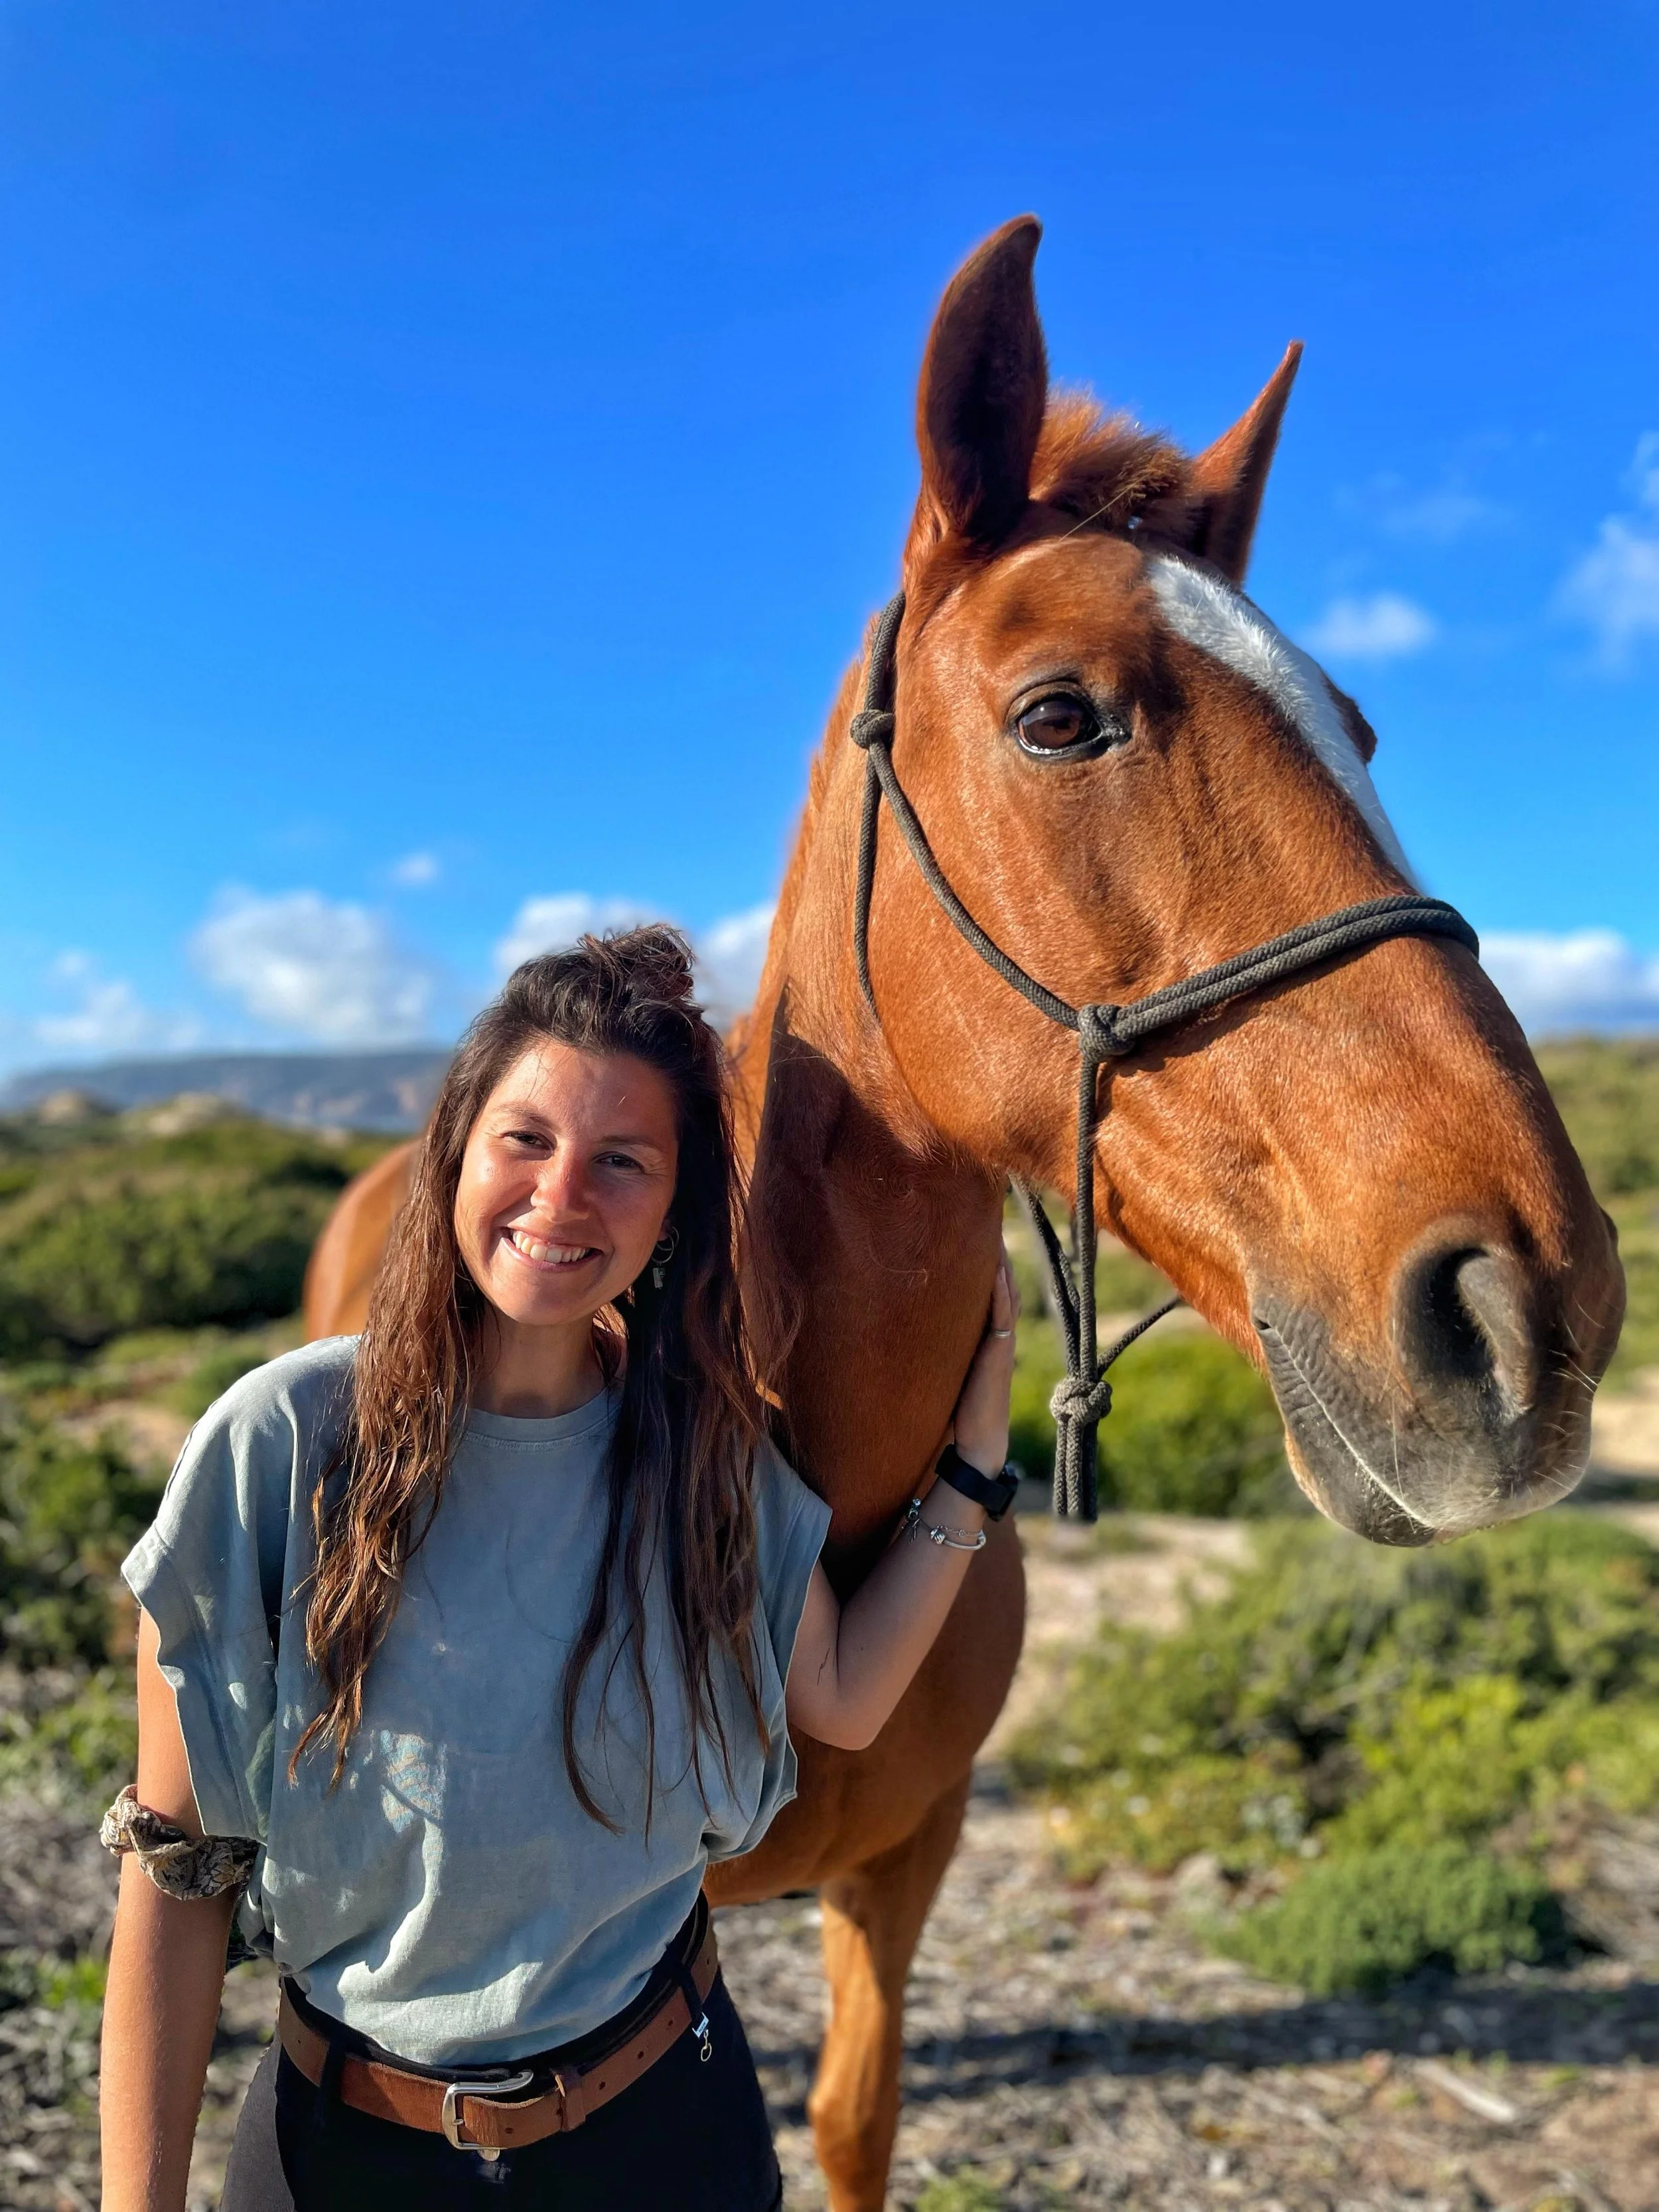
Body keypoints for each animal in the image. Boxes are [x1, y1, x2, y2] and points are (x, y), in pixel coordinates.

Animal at [302, 216, 1624, 2208]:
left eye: (1360, 725)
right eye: (1058, 716)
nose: (1529, 1307)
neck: (802, 1454)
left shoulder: (902, 1865)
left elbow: (854, 2123)